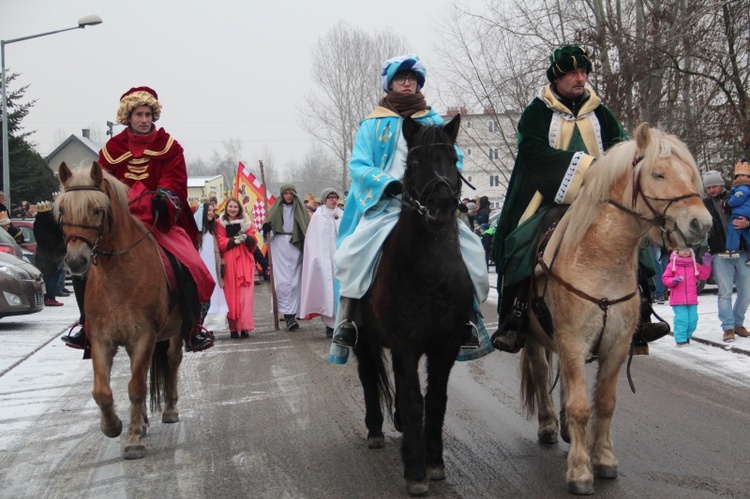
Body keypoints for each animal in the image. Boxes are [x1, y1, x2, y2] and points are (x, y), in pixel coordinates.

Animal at [55, 163, 184, 460]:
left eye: (97, 209)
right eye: (63, 210)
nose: (76, 261)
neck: (117, 276)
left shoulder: (145, 335)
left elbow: (136, 387)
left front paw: (133, 440)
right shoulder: (102, 339)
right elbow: (102, 391)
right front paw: (113, 426)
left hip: (175, 331)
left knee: (172, 361)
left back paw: (169, 410)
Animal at [352, 114, 470, 496]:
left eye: (453, 159)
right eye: (415, 163)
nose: (443, 204)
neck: (431, 274)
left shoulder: (444, 345)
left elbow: (435, 401)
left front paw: (434, 462)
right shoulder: (405, 343)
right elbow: (413, 398)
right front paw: (415, 470)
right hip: (362, 340)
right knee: (369, 379)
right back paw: (376, 430)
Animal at [520, 123, 712, 494]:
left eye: (689, 173)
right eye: (658, 173)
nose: (702, 224)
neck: (600, 259)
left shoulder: (616, 345)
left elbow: (605, 403)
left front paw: (604, 459)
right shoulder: (572, 340)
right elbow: (581, 406)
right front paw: (580, 472)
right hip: (536, 338)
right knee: (541, 373)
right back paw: (549, 426)